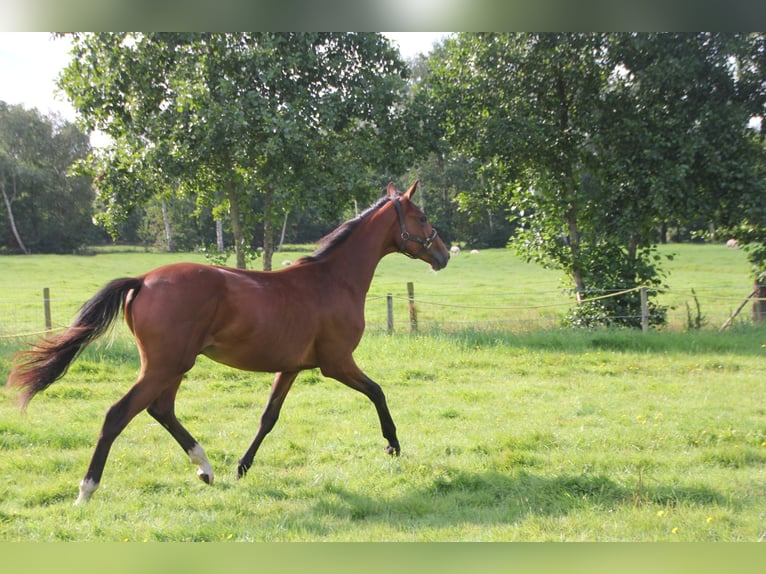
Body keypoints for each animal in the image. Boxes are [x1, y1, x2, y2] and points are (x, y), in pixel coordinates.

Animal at [7, 180, 450, 504]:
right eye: (423, 216)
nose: (444, 255)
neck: (333, 279)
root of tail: (143, 280)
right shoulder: (337, 363)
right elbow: (378, 392)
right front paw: (393, 445)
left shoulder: (291, 368)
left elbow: (268, 417)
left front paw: (242, 466)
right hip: (166, 365)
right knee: (119, 414)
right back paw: (87, 490)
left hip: (173, 366)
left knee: (160, 410)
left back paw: (205, 468)